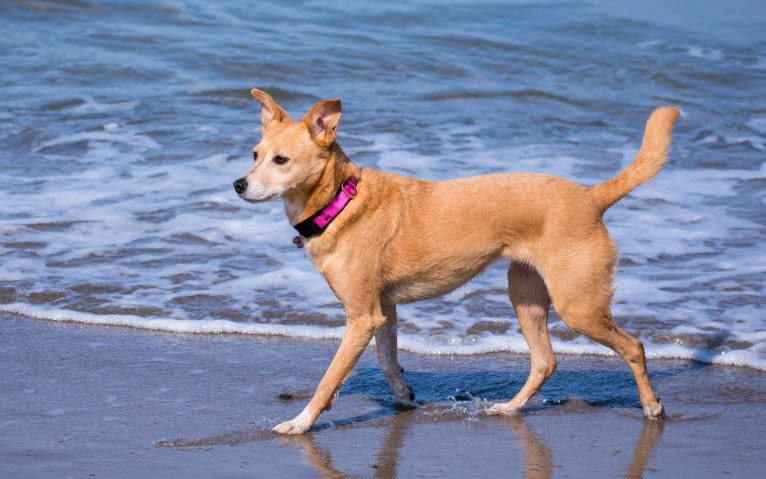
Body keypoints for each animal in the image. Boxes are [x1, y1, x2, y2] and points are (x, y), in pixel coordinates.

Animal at [236, 87, 684, 436]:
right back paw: (510, 407)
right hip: (525, 296)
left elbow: (329, 380)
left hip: (578, 306)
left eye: (280, 160)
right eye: (255, 154)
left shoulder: (362, 316)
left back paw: (652, 406)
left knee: (633, 346)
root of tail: (591, 197)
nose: (239, 184)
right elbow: (387, 361)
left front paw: (301, 422)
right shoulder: (384, 310)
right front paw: (405, 398)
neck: (341, 203)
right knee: (545, 361)